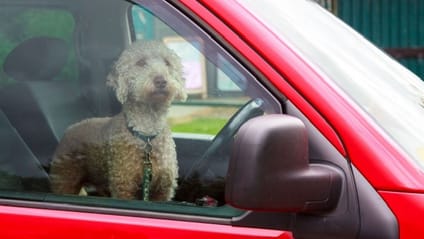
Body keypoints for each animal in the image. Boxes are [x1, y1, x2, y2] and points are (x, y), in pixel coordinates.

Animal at [48, 41, 186, 202]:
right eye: (140, 62)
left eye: (167, 63)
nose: (161, 80)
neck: (146, 134)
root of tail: (69, 129)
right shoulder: (124, 186)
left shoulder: (163, 189)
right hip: (65, 179)